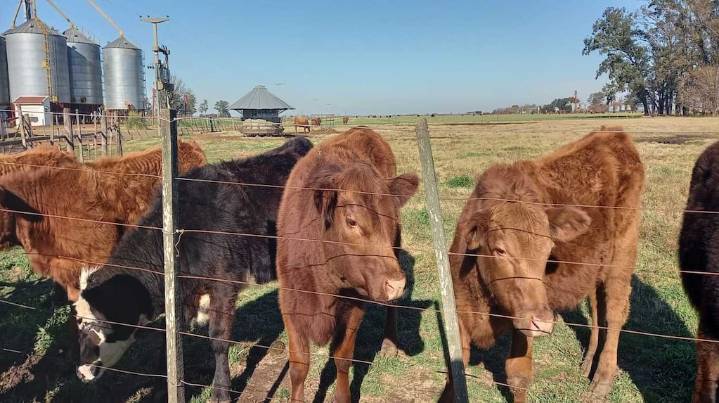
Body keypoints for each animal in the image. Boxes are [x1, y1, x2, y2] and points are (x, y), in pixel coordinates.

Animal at [74, 137, 313, 403]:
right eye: (78, 324)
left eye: (97, 325)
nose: (81, 373)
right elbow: (169, 337)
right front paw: (164, 387)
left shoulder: (223, 285)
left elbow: (218, 339)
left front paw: (221, 392)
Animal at [276, 127, 419, 403]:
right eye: (352, 221)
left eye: (391, 217)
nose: (396, 284)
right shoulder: (290, 301)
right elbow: (299, 366)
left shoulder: (356, 304)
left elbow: (342, 358)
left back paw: (390, 344)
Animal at [441, 127, 644, 402]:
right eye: (500, 250)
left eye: (548, 251)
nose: (544, 322)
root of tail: (612, 134)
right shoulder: (461, 311)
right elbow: (455, 373)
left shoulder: (523, 323)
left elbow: (518, 376)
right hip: (596, 266)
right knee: (596, 308)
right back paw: (587, 364)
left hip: (623, 254)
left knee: (614, 313)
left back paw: (602, 379)